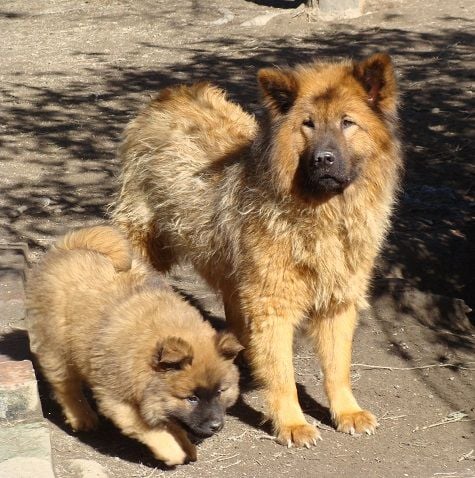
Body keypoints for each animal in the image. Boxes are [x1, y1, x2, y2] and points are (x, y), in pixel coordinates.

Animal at [112, 54, 406, 446]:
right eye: (307, 125)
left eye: (348, 123)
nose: (323, 159)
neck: (322, 215)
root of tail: (172, 93)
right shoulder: (272, 304)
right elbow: (283, 376)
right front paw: (292, 423)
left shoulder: (338, 301)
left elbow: (337, 368)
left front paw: (347, 411)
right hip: (147, 245)